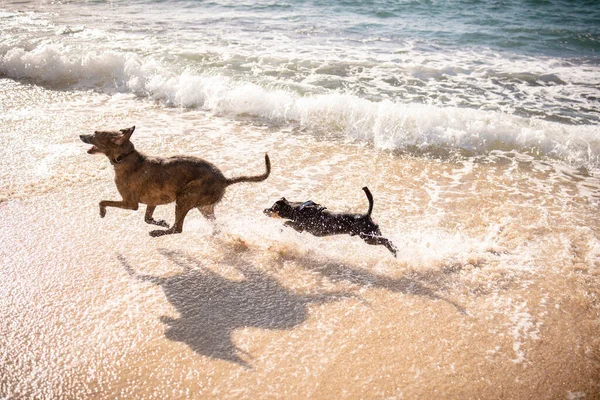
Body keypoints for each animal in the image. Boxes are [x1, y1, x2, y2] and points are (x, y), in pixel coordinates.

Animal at [79, 126, 270, 236]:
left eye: (95, 133)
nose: (80, 134)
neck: (125, 157)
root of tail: (224, 179)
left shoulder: (130, 203)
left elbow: (103, 201)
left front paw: (102, 212)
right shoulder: (152, 201)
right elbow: (147, 217)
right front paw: (161, 222)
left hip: (185, 197)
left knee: (178, 229)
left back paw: (157, 233)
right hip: (204, 207)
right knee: (211, 225)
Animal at [264, 187, 398, 256]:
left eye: (273, 208)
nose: (264, 210)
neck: (296, 209)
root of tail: (366, 215)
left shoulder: (300, 227)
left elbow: (286, 223)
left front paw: (282, 228)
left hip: (367, 237)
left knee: (386, 240)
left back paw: (394, 251)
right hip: (374, 233)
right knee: (387, 240)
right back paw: (394, 250)